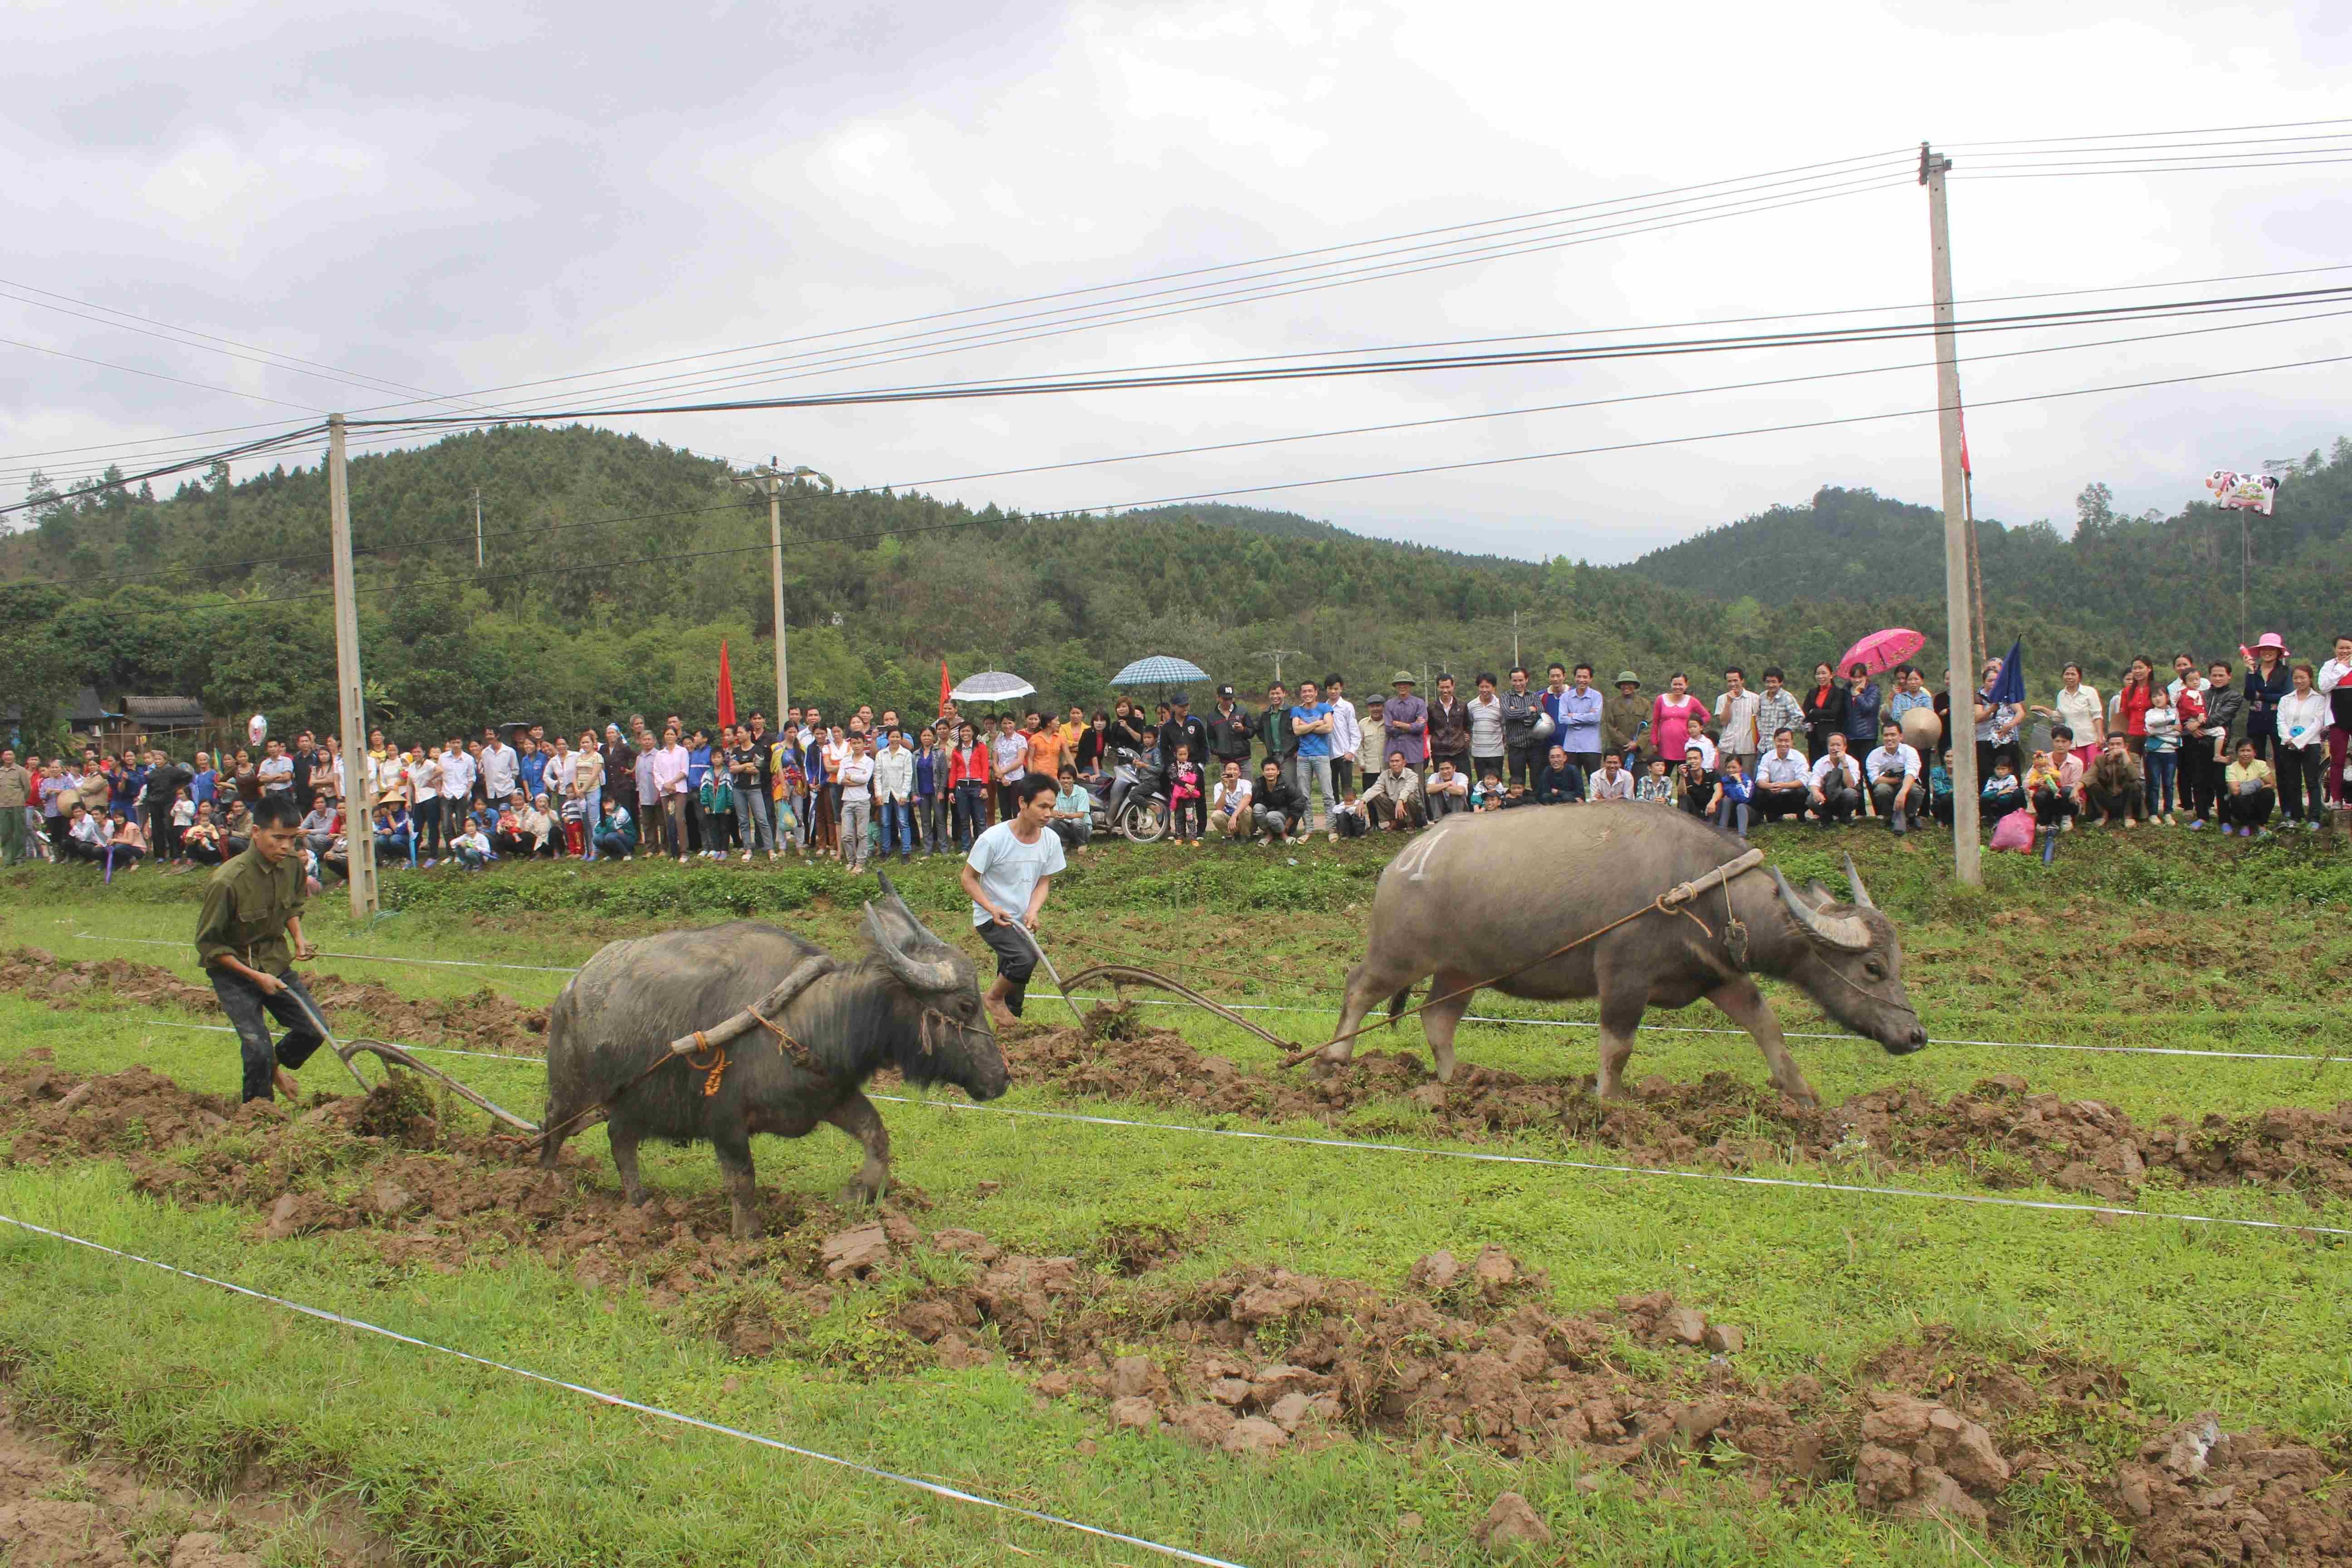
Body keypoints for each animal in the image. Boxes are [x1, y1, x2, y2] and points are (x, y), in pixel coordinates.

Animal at [539, 879, 1006, 1232]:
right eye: (966, 1005)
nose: (1002, 1079)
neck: (811, 1022)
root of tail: (574, 987)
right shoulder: (725, 1122)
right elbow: (742, 1183)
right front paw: (748, 1240)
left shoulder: (830, 1097)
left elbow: (878, 1139)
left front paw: (855, 1192)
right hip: (570, 1088)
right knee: (553, 1130)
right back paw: (544, 1186)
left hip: (631, 1102)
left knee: (620, 1139)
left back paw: (638, 1202)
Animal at [1317, 804, 1919, 1109]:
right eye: (1873, 967)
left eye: (1897, 963)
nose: (1916, 1036)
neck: (1698, 888)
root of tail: (1405, 858)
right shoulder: (1623, 978)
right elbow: (1618, 1048)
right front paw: (1607, 1105)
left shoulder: (1720, 975)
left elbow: (1767, 1026)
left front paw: (1800, 1092)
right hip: (1398, 954)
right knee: (1358, 987)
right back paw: (1335, 1061)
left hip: (1462, 971)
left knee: (1438, 1018)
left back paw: (1455, 1083)